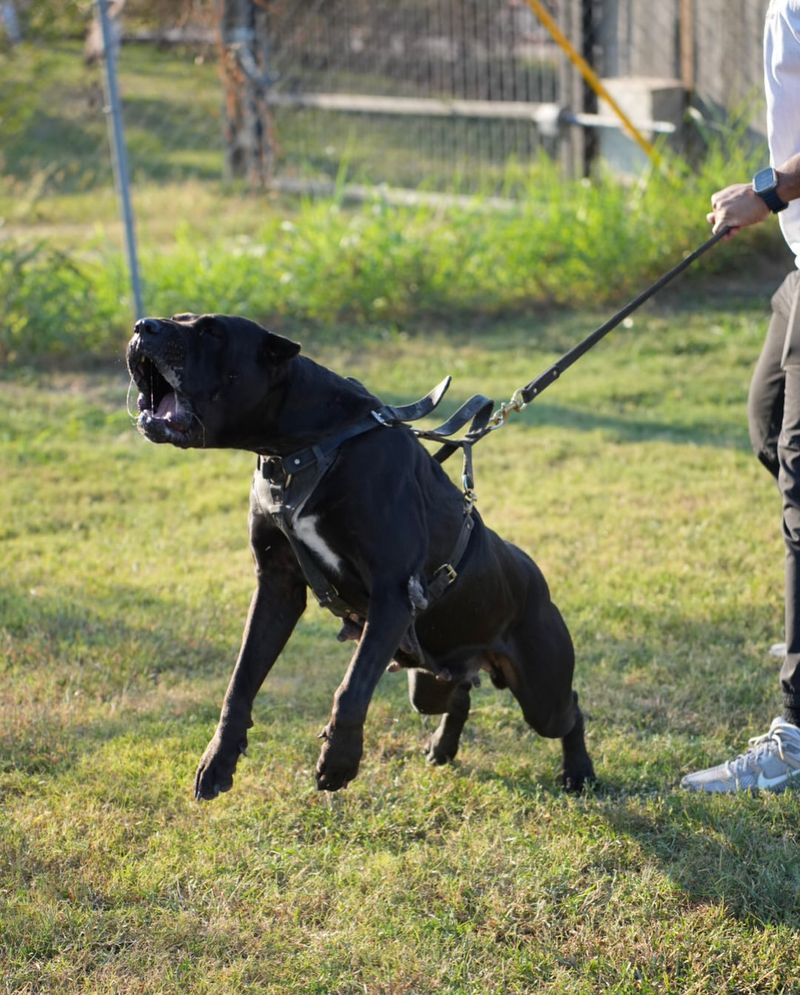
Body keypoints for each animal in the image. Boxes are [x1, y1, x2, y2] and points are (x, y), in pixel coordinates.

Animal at [126, 316, 592, 796]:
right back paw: (443, 747)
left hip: (540, 694)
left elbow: (351, 688)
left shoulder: (392, 593)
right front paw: (218, 760)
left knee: (570, 711)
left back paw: (579, 772)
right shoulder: (277, 587)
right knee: (460, 693)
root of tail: (535, 577)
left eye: (211, 331)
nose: (143, 325)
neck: (307, 446)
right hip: (431, 681)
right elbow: (241, 682)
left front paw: (339, 761)